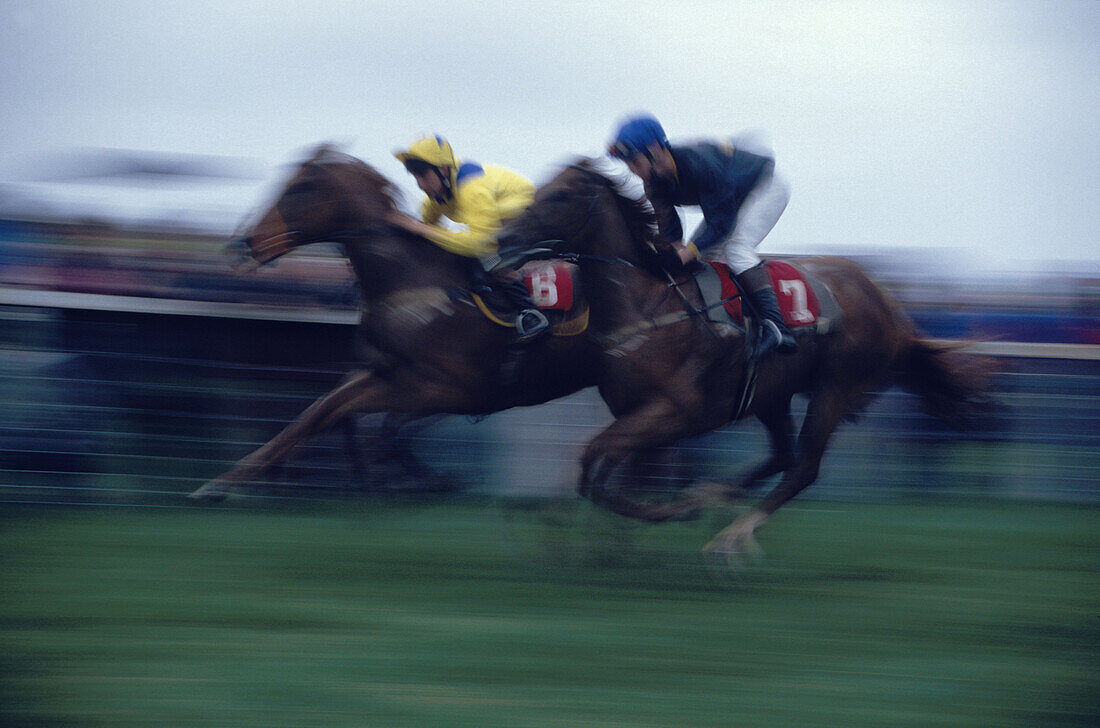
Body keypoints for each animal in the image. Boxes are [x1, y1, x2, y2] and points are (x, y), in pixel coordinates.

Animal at [189, 148, 602, 501]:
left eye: (300, 187)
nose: (243, 245)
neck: (411, 281)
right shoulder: (384, 373)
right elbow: (324, 413)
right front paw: (226, 481)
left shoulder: (444, 390)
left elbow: (369, 424)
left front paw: (424, 480)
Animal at [495, 161, 994, 558]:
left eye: (558, 194)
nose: (502, 236)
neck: (647, 306)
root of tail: (891, 305)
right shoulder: (635, 413)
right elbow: (600, 472)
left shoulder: (675, 414)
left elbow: (595, 466)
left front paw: (669, 512)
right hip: (771, 393)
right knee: (782, 455)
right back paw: (715, 497)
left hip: (836, 387)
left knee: (804, 467)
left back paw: (730, 536)